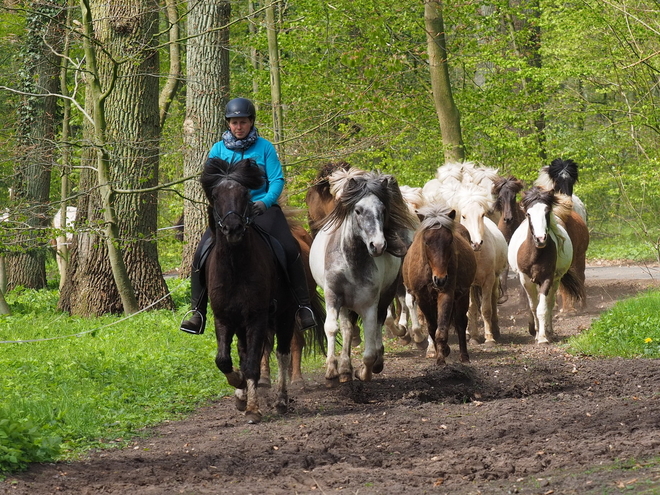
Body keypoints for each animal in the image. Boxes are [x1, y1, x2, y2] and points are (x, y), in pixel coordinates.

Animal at [201, 158, 324, 422]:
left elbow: (251, 364)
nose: (233, 229)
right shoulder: (224, 318)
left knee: (284, 352)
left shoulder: (256, 317)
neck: (235, 267)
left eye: (246, 193)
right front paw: (239, 388)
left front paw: (253, 408)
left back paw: (280, 400)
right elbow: (225, 359)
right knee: (248, 351)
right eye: (215, 195)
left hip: (285, 315)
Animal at [310, 169, 418, 386]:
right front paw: (332, 370)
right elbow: (332, 328)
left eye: (383, 210)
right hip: (345, 304)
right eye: (358, 210)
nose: (378, 245)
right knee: (347, 328)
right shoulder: (333, 296)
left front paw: (365, 372)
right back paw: (344, 369)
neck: (351, 264)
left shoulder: (369, 304)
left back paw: (375, 361)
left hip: (385, 295)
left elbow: (369, 352)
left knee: (379, 323)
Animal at [400, 203, 476, 366]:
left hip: (463, 296)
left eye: (449, 241)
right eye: (426, 241)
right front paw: (441, 352)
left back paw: (464, 356)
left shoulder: (446, 293)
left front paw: (442, 357)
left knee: (461, 322)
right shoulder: (422, 298)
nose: (440, 279)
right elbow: (432, 327)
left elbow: (441, 329)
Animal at [508, 186, 584, 344]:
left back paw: (550, 332)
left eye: (547, 211)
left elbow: (543, 308)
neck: (536, 255)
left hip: (556, 280)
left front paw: (543, 337)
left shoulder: (547, 278)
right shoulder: (525, 279)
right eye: (528, 213)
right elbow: (533, 307)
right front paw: (537, 333)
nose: (540, 239)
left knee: (550, 302)